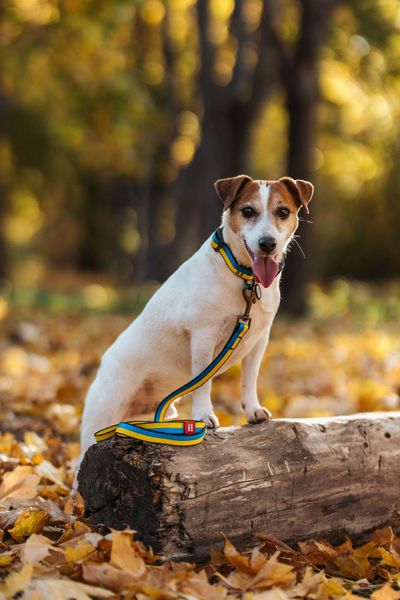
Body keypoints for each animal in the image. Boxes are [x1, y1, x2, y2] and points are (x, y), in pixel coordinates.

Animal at [77, 176, 312, 466]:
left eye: (283, 211)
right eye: (248, 211)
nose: (267, 243)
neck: (244, 279)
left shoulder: (259, 340)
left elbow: (250, 379)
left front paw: (253, 410)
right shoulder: (203, 336)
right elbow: (203, 382)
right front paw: (203, 416)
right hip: (104, 412)